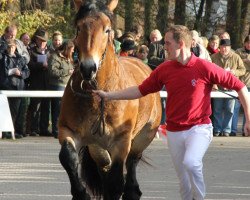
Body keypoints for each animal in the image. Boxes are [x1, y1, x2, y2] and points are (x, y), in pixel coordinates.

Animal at [57, 0, 161, 199]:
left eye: (107, 29)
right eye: (79, 27)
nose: (88, 67)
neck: (97, 94)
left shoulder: (121, 142)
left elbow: (115, 182)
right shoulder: (69, 130)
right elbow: (67, 157)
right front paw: (81, 192)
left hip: (143, 138)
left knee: (131, 170)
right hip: (98, 148)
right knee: (104, 168)